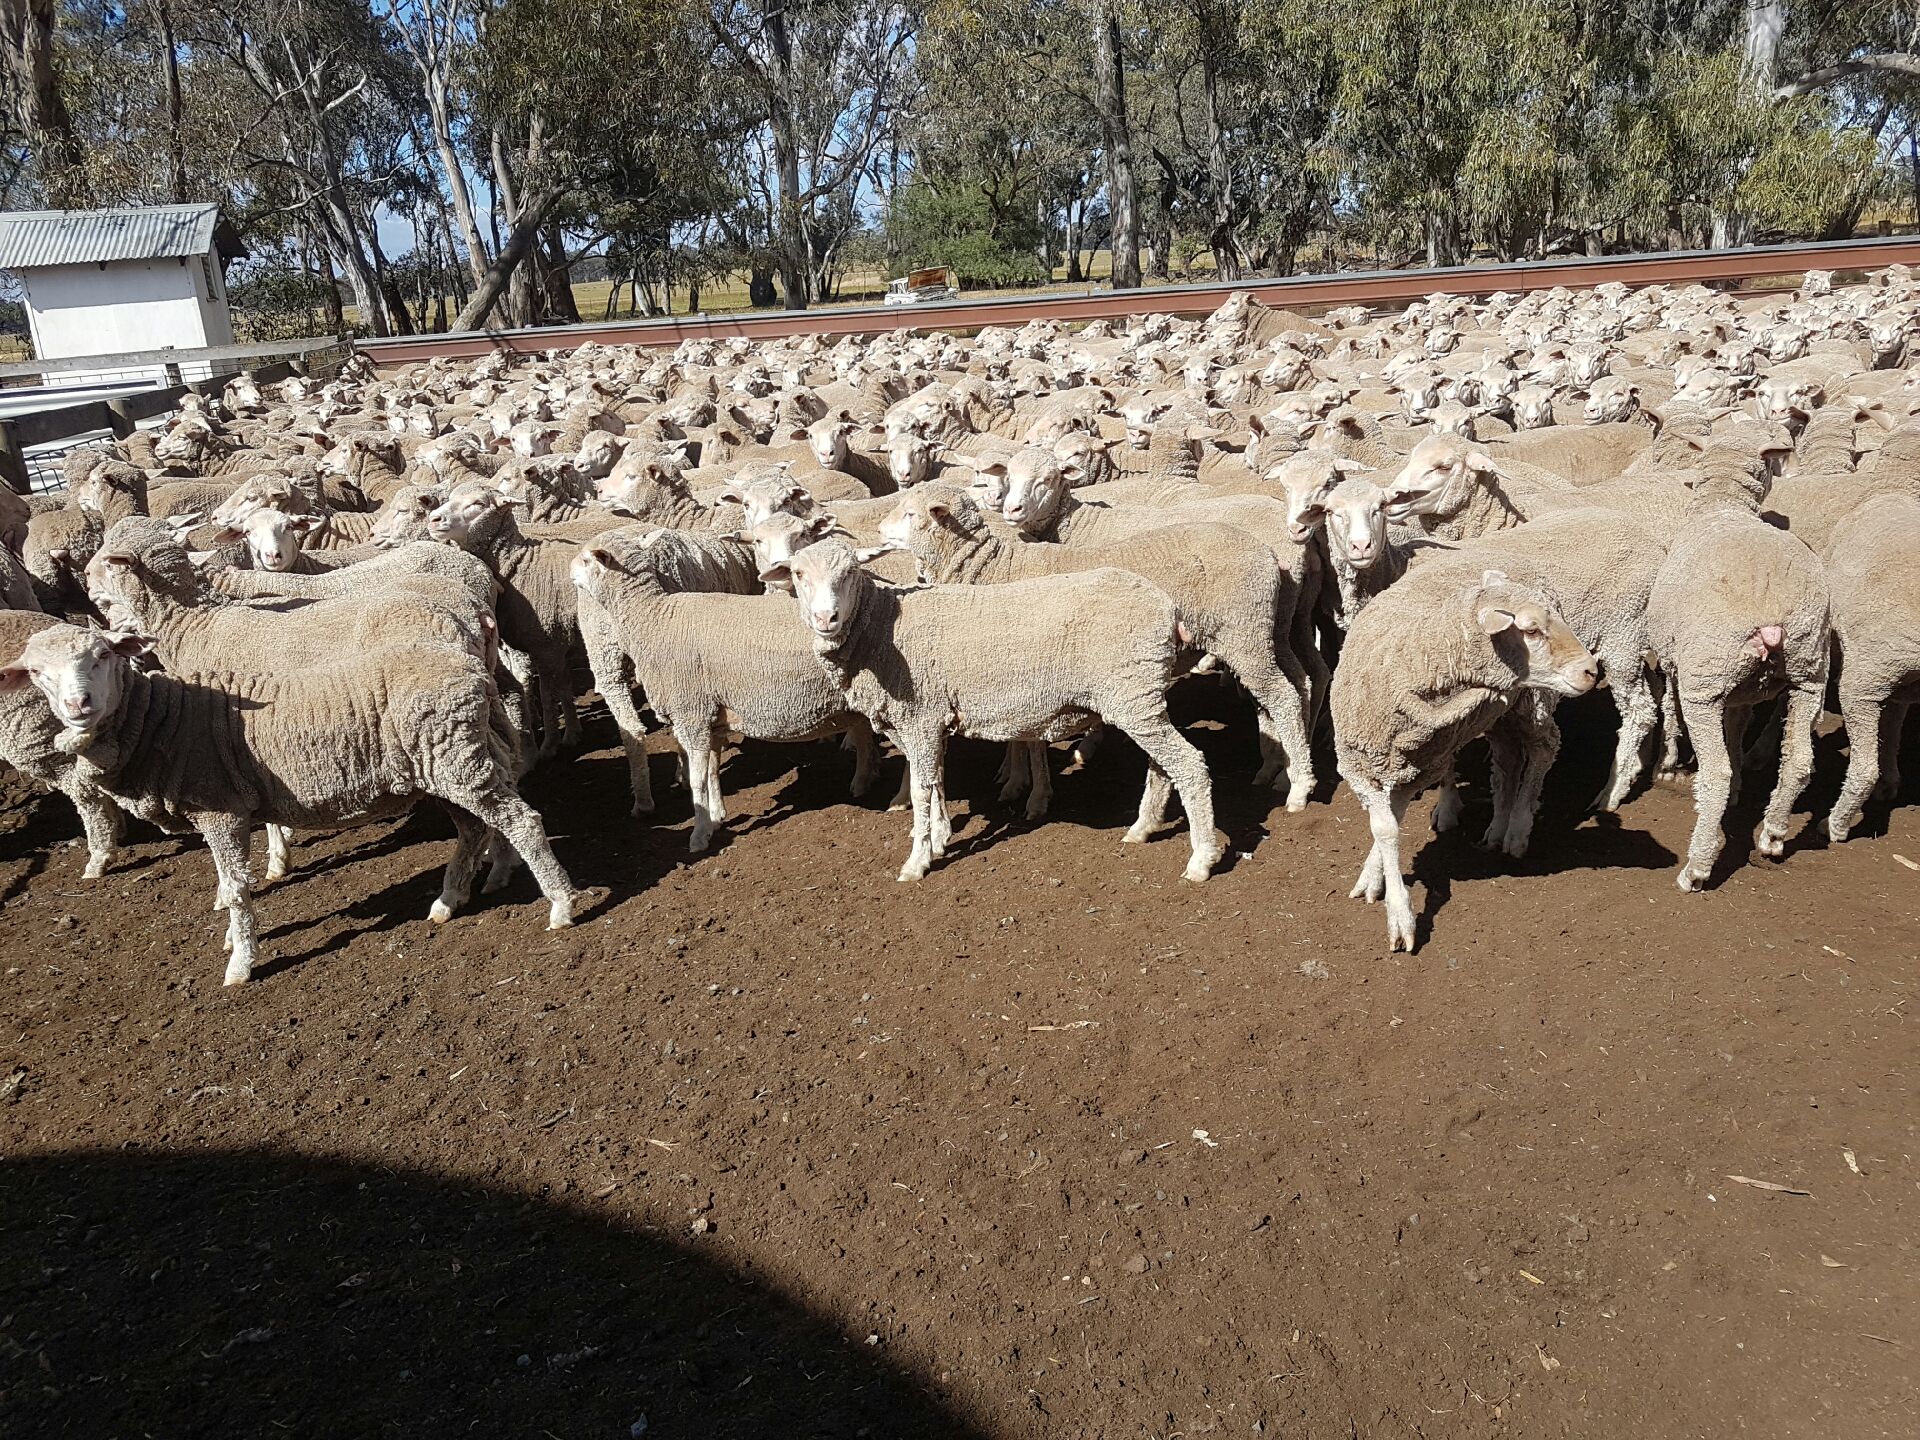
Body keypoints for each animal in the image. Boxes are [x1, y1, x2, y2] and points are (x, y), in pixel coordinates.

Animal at [0, 624, 584, 985]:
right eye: (37, 674)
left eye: (102, 656)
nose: (78, 705)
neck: (162, 720)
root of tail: (474, 668)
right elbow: (235, 884)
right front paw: (237, 940)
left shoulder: (220, 811)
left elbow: (237, 889)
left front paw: (241, 962)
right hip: (449, 761)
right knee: (478, 826)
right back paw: (455, 896)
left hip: (454, 755)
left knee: (519, 820)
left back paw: (559, 904)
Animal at [572, 527, 881, 848]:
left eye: (585, 559)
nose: (570, 573)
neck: (652, 619)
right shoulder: (712, 715)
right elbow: (711, 771)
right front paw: (716, 817)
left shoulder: (691, 714)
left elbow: (697, 780)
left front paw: (698, 835)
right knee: (865, 731)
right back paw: (866, 779)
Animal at [766, 538, 1225, 884]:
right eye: (798, 574)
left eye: (850, 573)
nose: (827, 618)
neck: (880, 628)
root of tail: (1166, 607)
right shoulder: (928, 719)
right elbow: (936, 780)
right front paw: (940, 838)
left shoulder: (920, 717)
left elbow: (920, 790)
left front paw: (917, 861)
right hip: (1141, 697)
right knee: (1163, 765)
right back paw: (1143, 828)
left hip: (1132, 694)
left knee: (1188, 764)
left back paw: (1201, 858)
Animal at [877, 483, 1316, 810]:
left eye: (911, 514)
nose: (880, 530)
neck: (993, 567)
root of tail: (1264, 551)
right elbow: (1021, 735)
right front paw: (1018, 779)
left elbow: (1029, 739)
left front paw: (1032, 792)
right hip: (1272, 629)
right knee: (1301, 684)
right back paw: (1287, 767)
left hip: (1244, 635)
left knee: (1281, 695)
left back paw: (1297, 786)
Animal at [1331, 563, 1599, 951]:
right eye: (1531, 629)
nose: (1592, 671)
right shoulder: (1368, 763)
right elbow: (1387, 826)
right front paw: (1373, 879)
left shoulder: (1417, 766)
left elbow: (1389, 826)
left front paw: (1400, 916)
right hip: (1500, 711)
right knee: (1508, 760)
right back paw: (1496, 828)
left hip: (1531, 701)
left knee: (1544, 748)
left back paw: (1517, 829)